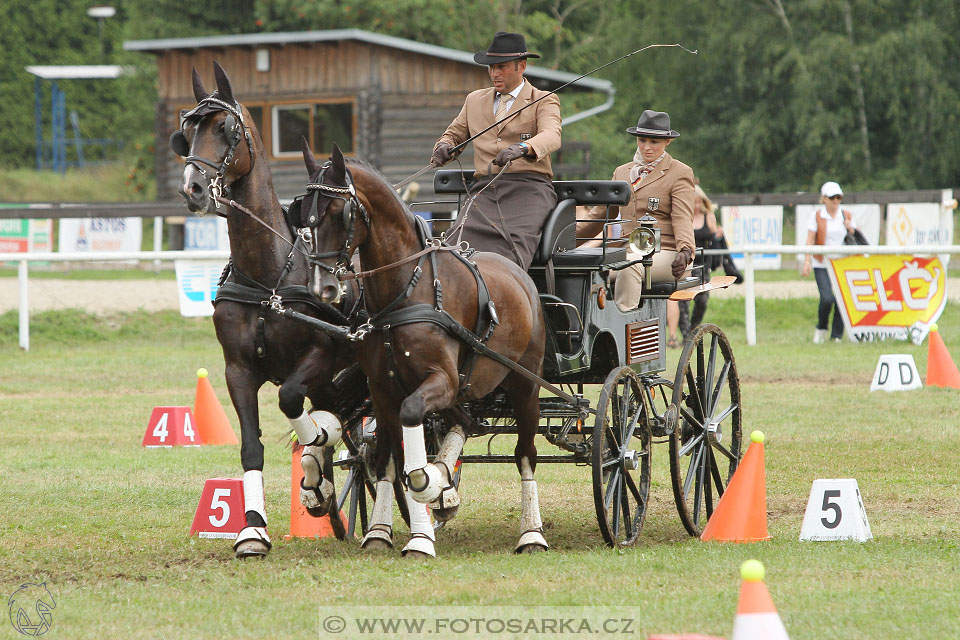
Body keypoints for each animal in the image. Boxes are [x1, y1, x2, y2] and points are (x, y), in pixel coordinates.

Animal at [171, 62, 354, 556]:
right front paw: (252, 529)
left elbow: (292, 401)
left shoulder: (320, 358)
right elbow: (251, 447)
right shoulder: (237, 370)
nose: (193, 188)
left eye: (226, 128)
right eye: (186, 132)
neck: (267, 277)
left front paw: (316, 466)